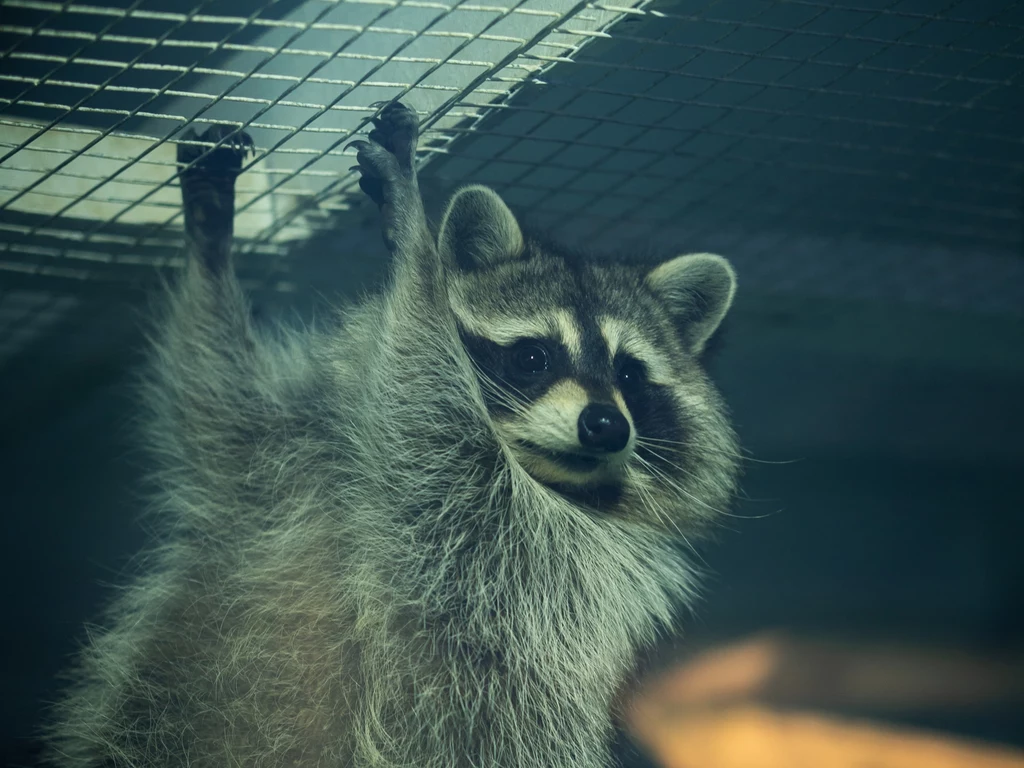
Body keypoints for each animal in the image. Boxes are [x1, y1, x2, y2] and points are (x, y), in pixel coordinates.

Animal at [44, 103, 741, 768]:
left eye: (629, 374)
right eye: (534, 357)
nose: (606, 425)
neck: (540, 471)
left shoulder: (528, 550)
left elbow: (425, 402)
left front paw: (416, 246)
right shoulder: (291, 451)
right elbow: (218, 408)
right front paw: (210, 243)